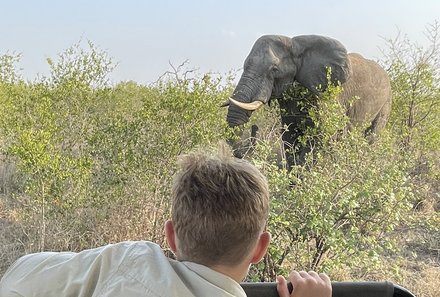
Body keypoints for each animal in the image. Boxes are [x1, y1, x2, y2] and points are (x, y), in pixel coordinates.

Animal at [223, 34, 392, 169]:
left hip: (386, 102)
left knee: (371, 136)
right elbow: (290, 136)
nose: (255, 127)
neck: (295, 45)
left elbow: (322, 136)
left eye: (274, 70)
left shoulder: (328, 95)